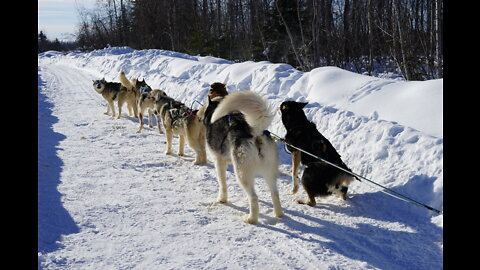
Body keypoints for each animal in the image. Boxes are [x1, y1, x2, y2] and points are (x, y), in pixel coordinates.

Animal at [199, 90, 284, 224]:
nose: (199, 118)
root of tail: (255, 132)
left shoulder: (219, 161)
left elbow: (222, 184)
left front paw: (222, 199)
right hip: (269, 172)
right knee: (274, 193)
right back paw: (278, 214)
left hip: (241, 173)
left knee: (254, 197)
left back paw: (251, 219)